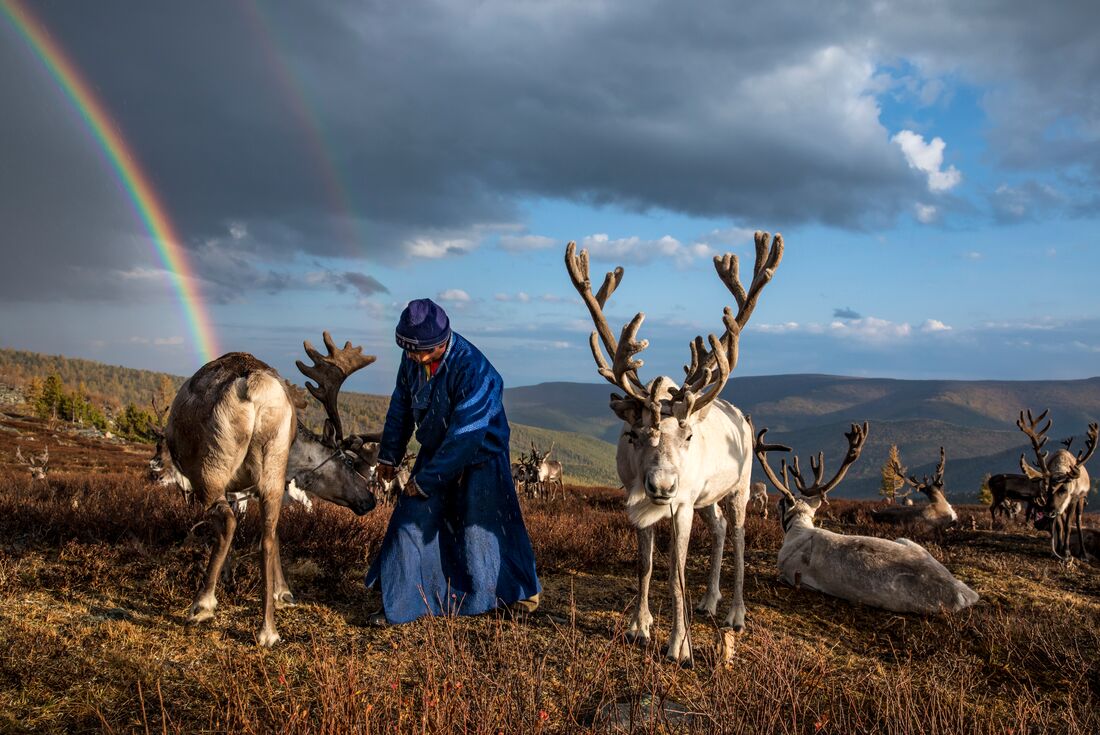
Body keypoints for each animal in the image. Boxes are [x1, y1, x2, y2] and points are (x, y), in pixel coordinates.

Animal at [154, 332, 378, 646]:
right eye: (348, 461)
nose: (370, 500)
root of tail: (256, 389)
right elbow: (276, 536)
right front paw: (282, 592)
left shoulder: (233, 488)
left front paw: (226, 576)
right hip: (272, 461)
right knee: (269, 537)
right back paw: (268, 630)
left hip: (211, 470)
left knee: (227, 522)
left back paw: (203, 604)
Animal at [565, 231, 782, 665]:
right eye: (633, 435)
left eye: (688, 436)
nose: (662, 485)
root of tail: (740, 416)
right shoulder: (636, 500)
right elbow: (646, 565)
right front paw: (639, 625)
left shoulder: (681, 506)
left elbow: (675, 572)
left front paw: (679, 645)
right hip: (706, 496)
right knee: (718, 529)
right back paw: (710, 601)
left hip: (740, 486)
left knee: (738, 535)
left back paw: (735, 613)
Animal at [752, 419, 980, 614]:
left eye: (781, 504)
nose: (774, 506)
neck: (799, 529)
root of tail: (967, 594)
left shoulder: (789, 573)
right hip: (906, 540)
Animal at [1016, 409, 1098, 559]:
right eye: (1045, 491)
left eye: (1064, 490)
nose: (1048, 511)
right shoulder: (1057, 507)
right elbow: (1059, 526)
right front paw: (1058, 549)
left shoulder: (1073, 499)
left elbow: (1068, 525)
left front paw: (1066, 552)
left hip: (1081, 499)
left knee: (1078, 522)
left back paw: (1083, 553)